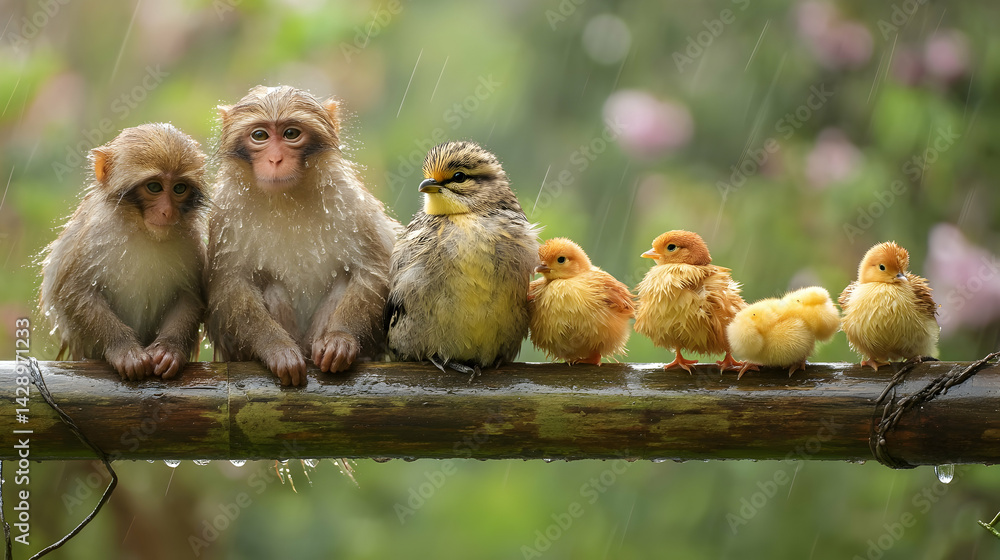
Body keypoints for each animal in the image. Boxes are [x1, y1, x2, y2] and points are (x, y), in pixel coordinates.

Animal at [39, 123, 208, 381]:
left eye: (179, 188)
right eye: (154, 187)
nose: (167, 212)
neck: (142, 230)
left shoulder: (191, 241)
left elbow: (190, 295)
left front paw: (169, 349)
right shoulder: (95, 233)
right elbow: (74, 290)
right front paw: (124, 350)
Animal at [206, 85, 399, 386]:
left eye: (291, 134)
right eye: (260, 136)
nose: (275, 159)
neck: (286, 199)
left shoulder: (345, 196)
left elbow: (373, 268)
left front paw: (341, 339)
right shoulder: (226, 209)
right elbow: (229, 284)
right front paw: (276, 348)